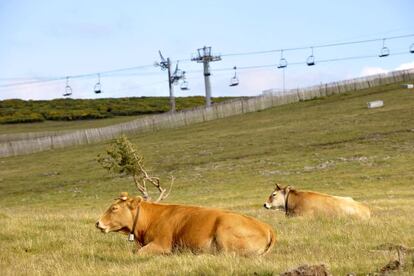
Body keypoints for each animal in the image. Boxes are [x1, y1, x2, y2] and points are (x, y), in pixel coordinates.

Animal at [97, 193, 276, 256]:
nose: (98, 223)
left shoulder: (162, 244)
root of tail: (267, 227)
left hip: (224, 232)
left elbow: (138, 253)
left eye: (114, 208)